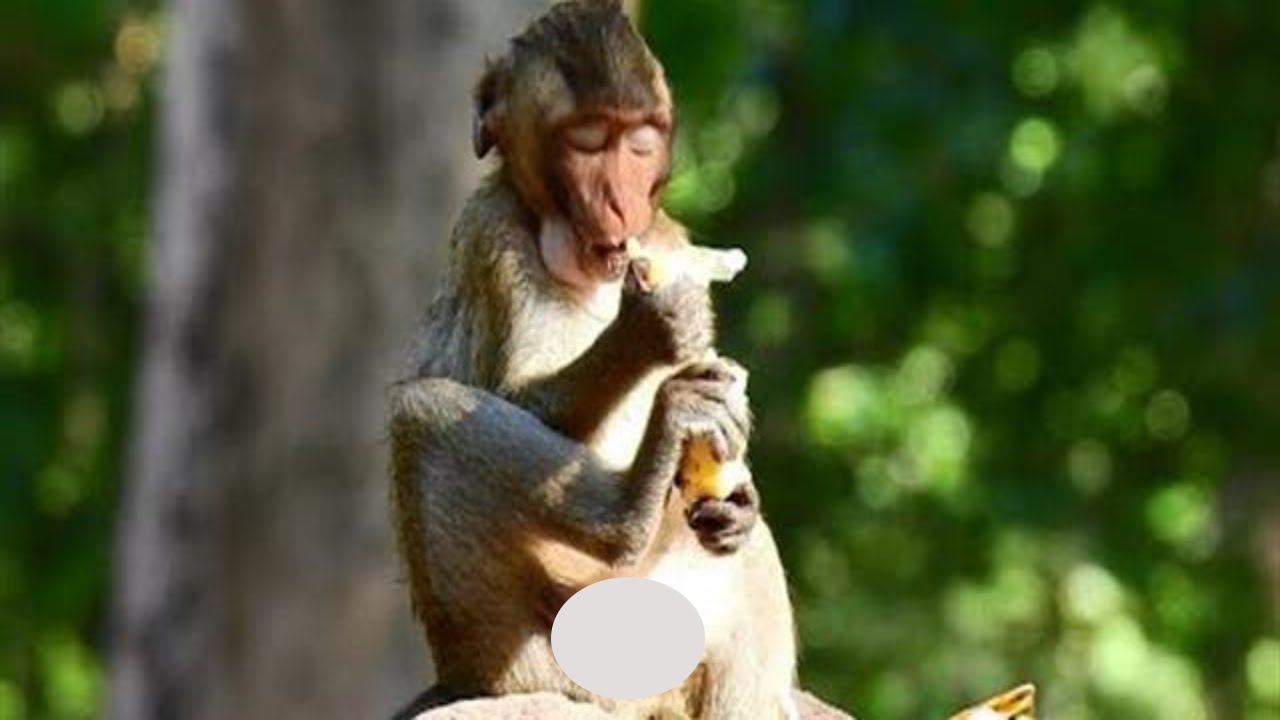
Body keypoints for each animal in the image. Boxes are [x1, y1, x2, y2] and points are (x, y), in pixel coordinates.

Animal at [388, 2, 796, 718]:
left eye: (638, 142)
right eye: (586, 142)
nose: (619, 204)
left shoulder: (669, 236)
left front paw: (736, 483)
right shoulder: (493, 234)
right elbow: (518, 397)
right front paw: (651, 328)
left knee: (745, 558)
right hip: (544, 651)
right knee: (423, 413)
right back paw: (628, 511)